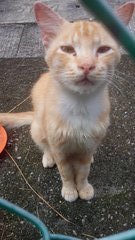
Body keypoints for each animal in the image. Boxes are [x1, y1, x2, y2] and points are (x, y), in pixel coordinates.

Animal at [0, 2, 134, 201]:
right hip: (38, 128)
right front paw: (70, 190)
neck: (80, 106)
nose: (86, 65)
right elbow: (65, 172)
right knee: (44, 145)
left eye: (103, 49)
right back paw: (48, 158)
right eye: (68, 50)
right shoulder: (59, 147)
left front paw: (83, 188)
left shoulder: (88, 145)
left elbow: (83, 171)